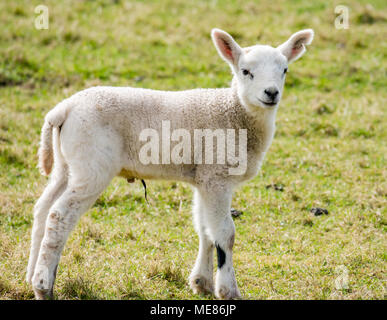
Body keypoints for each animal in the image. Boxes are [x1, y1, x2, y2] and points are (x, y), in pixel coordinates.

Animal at [26, 27, 312, 300]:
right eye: (246, 71)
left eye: (285, 70)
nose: (271, 93)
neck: (235, 112)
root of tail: (64, 109)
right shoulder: (217, 177)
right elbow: (225, 234)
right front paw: (228, 290)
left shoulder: (204, 178)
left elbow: (205, 230)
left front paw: (202, 283)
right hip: (92, 165)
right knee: (59, 215)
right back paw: (43, 286)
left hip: (66, 164)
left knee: (43, 208)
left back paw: (31, 275)